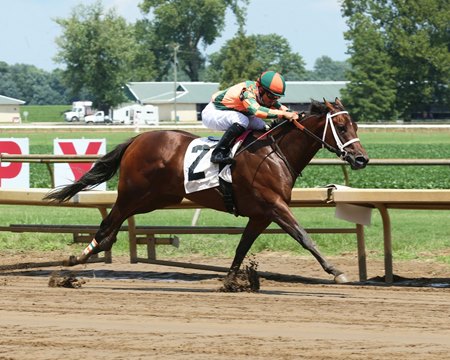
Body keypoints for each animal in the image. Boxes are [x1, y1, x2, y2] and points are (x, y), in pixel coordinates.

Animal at [44, 97, 370, 284]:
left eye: (355, 126)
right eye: (341, 126)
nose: (361, 159)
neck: (274, 153)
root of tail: (137, 139)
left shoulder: (261, 214)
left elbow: (243, 246)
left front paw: (230, 280)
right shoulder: (275, 205)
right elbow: (304, 236)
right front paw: (335, 271)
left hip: (155, 197)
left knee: (114, 225)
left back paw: (89, 255)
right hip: (133, 192)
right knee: (107, 223)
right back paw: (75, 262)